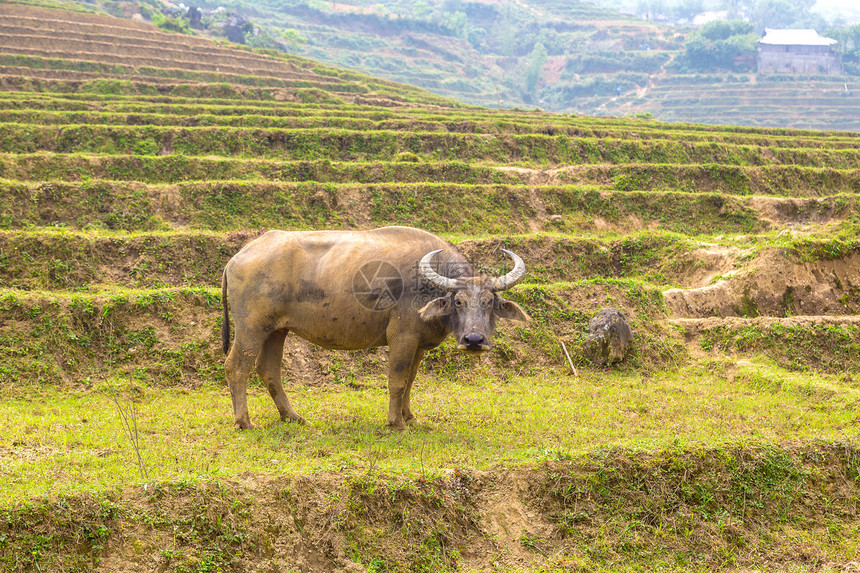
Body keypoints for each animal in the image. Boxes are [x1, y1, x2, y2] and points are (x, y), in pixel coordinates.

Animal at [220, 226, 532, 426]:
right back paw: (244, 421)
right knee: (237, 366)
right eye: (458, 301)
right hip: (251, 328)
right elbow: (397, 380)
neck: (427, 286)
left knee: (268, 369)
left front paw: (410, 418)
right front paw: (395, 423)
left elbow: (410, 381)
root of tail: (238, 257)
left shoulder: (418, 345)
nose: (474, 340)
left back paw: (292, 417)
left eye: (489, 302)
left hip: (276, 330)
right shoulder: (402, 338)